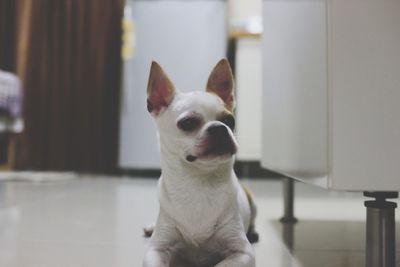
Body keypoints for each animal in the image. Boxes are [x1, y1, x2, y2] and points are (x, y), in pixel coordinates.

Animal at [142, 59, 258, 267]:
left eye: (230, 120)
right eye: (188, 123)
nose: (220, 128)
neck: (198, 183)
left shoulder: (242, 252)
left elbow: (222, 264)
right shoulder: (156, 249)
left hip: (253, 203)